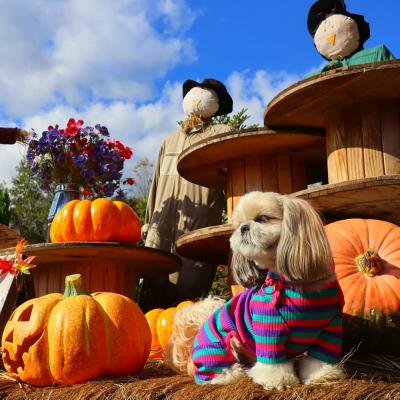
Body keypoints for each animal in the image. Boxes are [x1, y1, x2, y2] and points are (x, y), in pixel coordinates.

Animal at [164, 192, 346, 390]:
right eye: (238, 225)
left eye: (263, 219)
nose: (244, 227)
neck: (294, 286)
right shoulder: (269, 326)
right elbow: (273, 361)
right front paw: (276, 380)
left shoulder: (330, 328)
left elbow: (319, 358)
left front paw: (322, 375)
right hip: (217, 347)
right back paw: (230, 374)